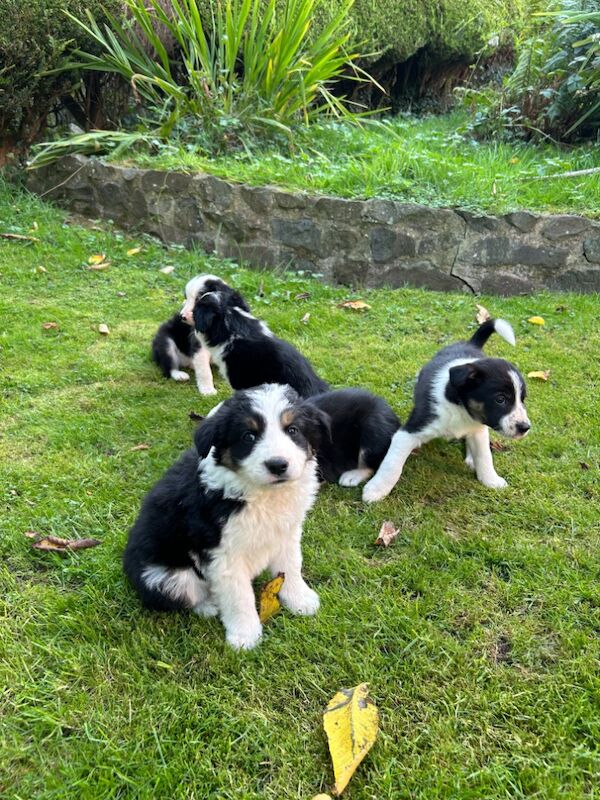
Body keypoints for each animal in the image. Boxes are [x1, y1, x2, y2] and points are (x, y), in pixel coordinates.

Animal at [122, 382, 328, 648]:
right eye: (249, 436)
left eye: (292, 430)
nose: (278, 465)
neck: (260, 494)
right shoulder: (223, 554)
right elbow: (238, 596)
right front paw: (244, 636)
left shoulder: (287, 531)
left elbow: (291, 566)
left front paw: (299, 600)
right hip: (167, 577)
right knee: (186, 596)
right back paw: (210, 606)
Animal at [360, 320, 528, 504]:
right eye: (500, 399)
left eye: (522, 399)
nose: (525, 428)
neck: (460, 409)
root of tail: (470, 344)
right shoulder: (410, 431)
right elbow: (392, 464)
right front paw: (376, 489)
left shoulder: (478, 429)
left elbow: (484, 456)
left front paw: (491, 480)